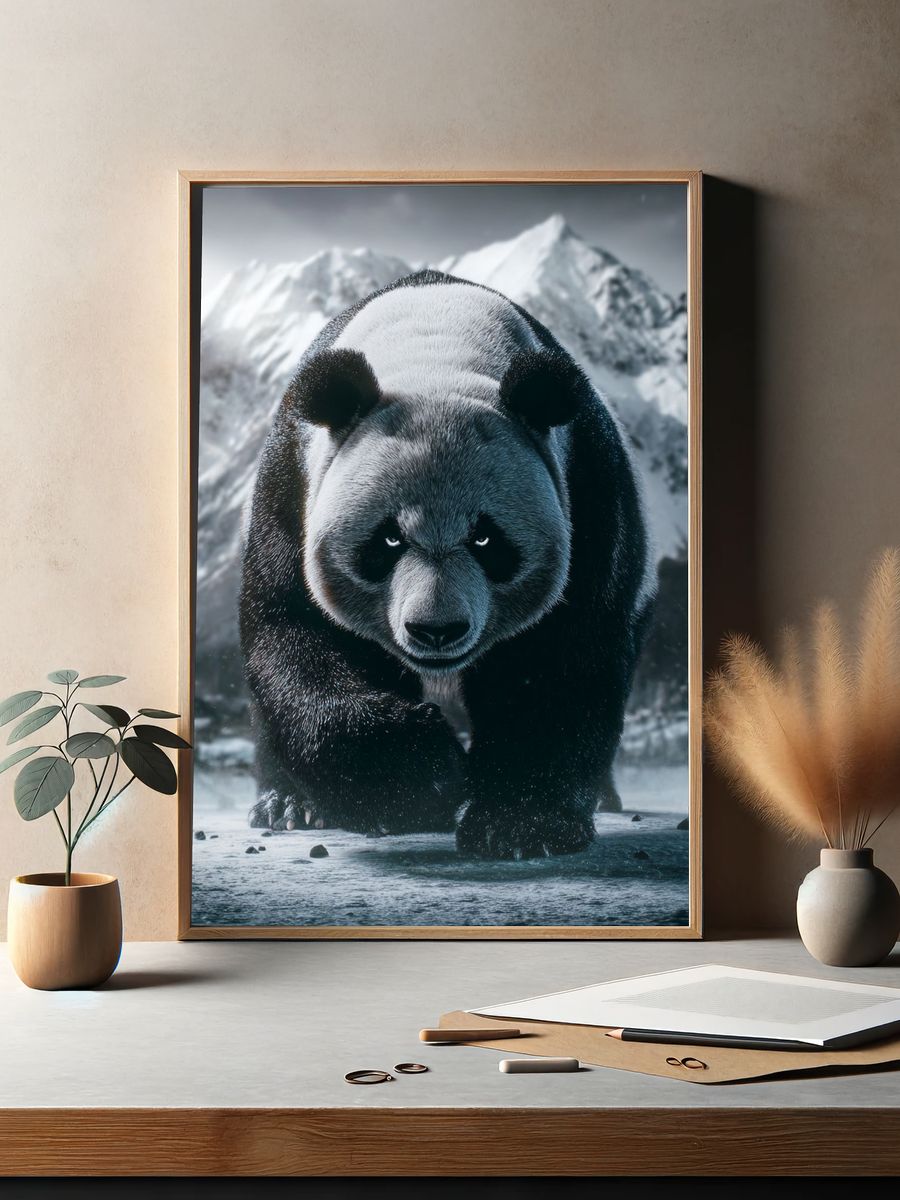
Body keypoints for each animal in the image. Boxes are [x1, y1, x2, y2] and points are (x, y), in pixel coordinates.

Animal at [239, 270, 654, 860]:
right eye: (388, 539)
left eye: (486, 539)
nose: (436, 630)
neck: (434, 352)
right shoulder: (294, 484)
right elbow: (299, 636)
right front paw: (421, 780)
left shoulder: (585, 484)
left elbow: (563, 656)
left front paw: (520, 823)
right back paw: (287, 805)